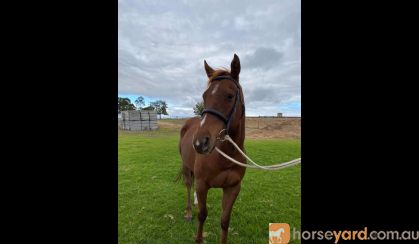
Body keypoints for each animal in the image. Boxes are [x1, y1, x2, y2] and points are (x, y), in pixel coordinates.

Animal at [179, 54, 248, 243]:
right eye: (205, 96)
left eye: (230, 96)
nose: (200, 143)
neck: (226, 155)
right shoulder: (203, 185)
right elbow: (202, 215)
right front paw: (198, 238)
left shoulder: (233, 188)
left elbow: (225, 221)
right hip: (186, 167)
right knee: (189, 185)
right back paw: (189, 211)